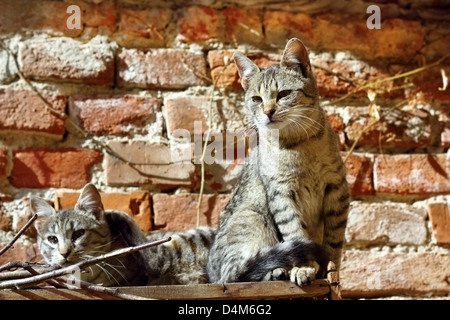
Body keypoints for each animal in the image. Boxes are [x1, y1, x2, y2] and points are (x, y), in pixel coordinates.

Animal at [206, 38, 350, 286]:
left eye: (283, 94)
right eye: (256, 99)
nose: (268, 112)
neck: (298, 145)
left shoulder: (337, 189)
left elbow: (334, 241)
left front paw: (330, 271)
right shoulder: (281, 194)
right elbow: (295, 231)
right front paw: (304, 268)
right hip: (252, 219)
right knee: (235, 274)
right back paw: (276, 271)